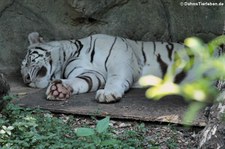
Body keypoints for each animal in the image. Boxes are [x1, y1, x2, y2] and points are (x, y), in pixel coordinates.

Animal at [21, 32, 195, 103]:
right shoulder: (92, 73)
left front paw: (108, 93)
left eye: (27, 61)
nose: (26, 79)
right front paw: (59, 90)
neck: (69, 55)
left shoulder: (120, 58)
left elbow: (115, 78)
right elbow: (82, 81)